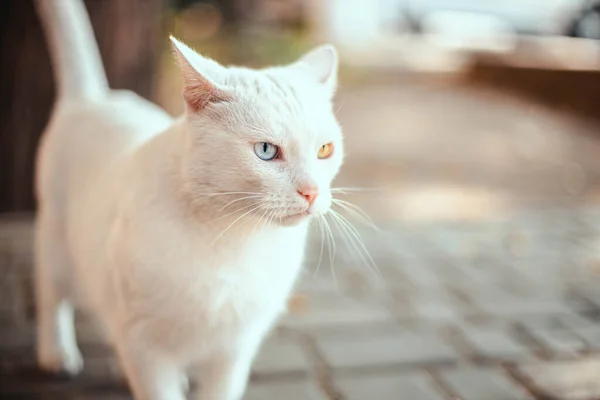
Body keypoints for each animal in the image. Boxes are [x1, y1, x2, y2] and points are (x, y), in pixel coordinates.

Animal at [32, 0, 342, 400]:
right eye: (265, 151)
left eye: (325, 150)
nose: (312, 191)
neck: (232, 240)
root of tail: (94, 98)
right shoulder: (146, 345)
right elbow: (156, 386)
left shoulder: (233, 350)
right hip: (56, 246)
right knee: (51, 297)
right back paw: (57, 355)